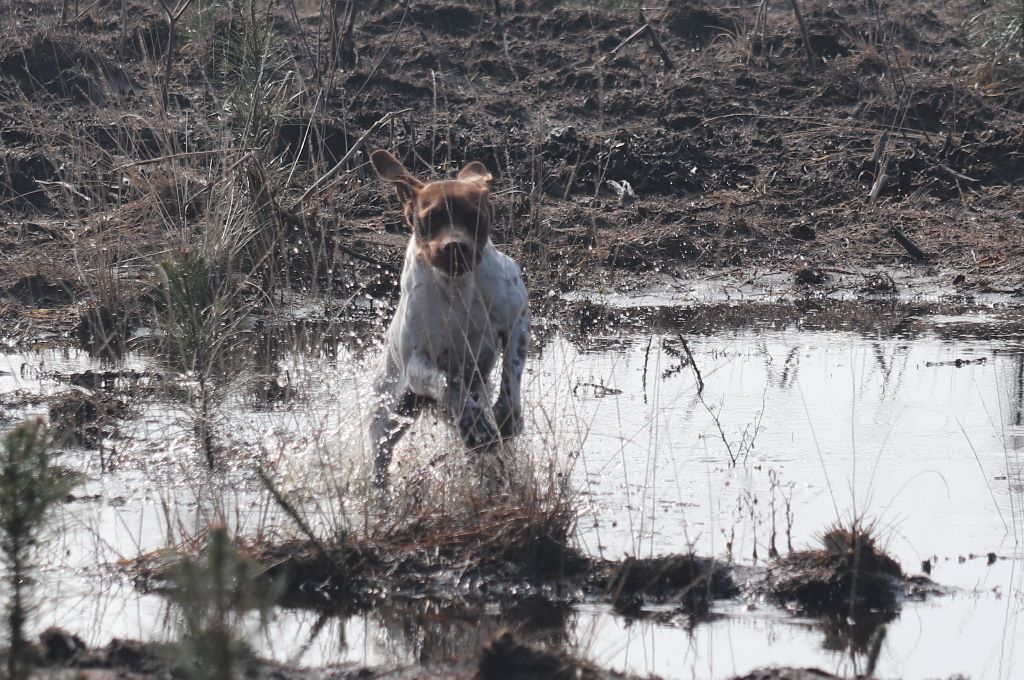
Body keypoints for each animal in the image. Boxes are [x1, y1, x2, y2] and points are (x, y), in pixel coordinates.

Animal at [366, 150, 528, 485]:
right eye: (431, 218)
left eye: (474, 216)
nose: (455, 247)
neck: (458, 288)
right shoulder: (418, 364)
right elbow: (450, 383)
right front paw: (474, 421)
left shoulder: (517, 320)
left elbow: (511, 373)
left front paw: (506, 414)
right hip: (389, 413)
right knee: (381, 454)